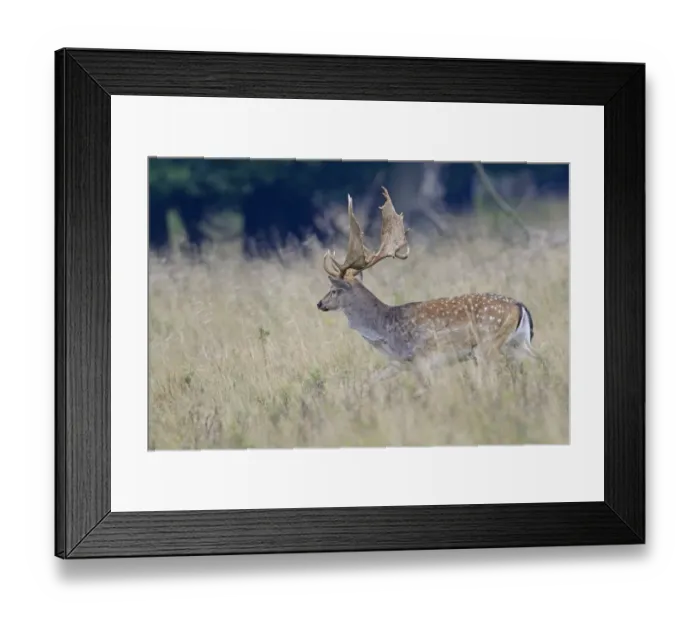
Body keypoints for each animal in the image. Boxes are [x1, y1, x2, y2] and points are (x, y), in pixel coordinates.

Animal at [316, 187, 544, 387]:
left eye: (334, 290)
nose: (320, 303)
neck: (386, 332)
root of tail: (520, 307)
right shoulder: (399, 362)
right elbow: (368, 382)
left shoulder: (422, 358)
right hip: (517, 343)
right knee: (540, 361)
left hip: (487, 345)